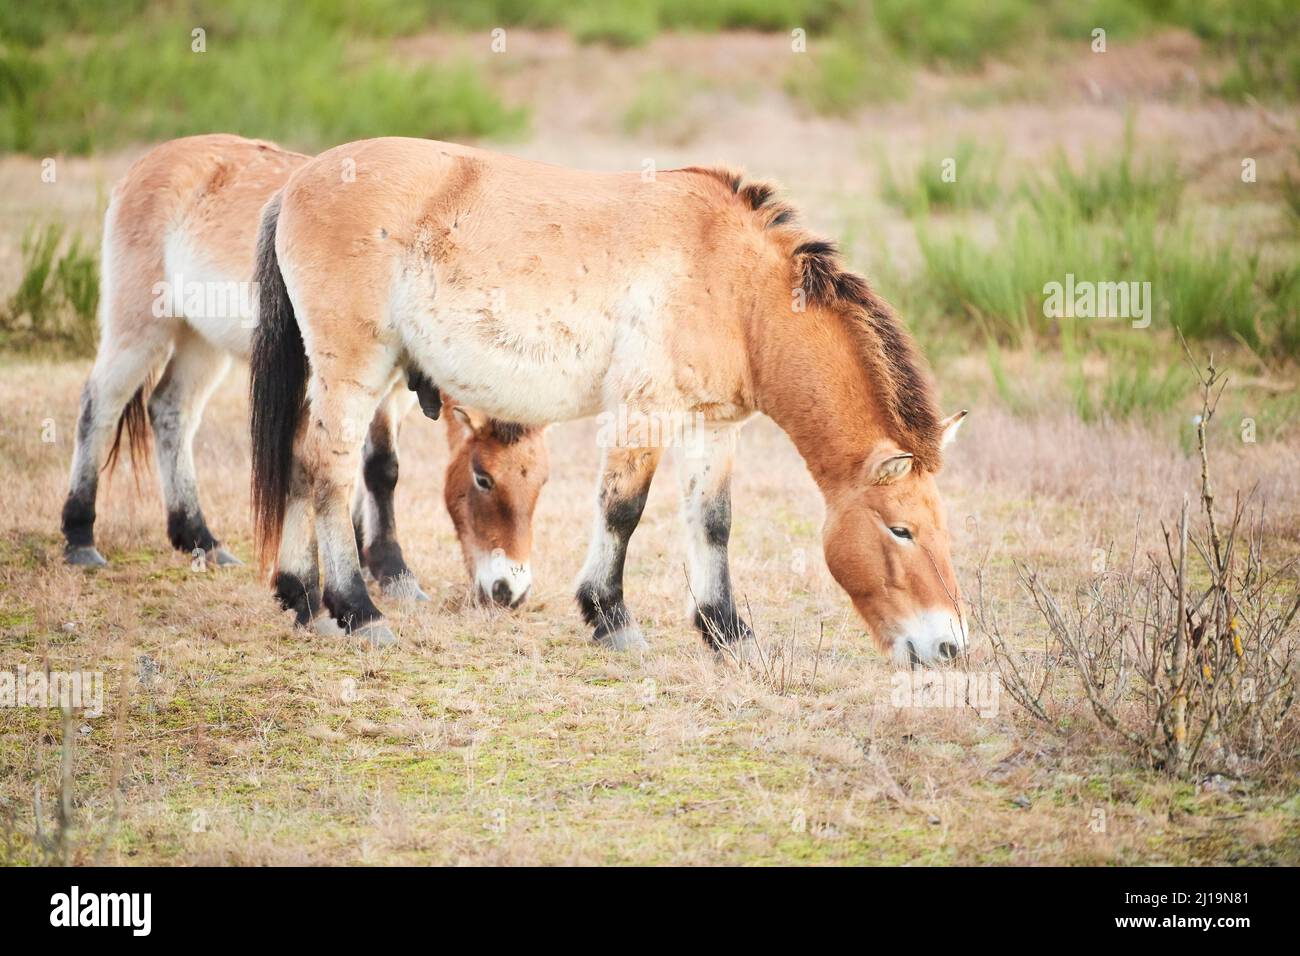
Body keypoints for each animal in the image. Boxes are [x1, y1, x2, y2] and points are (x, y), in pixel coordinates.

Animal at [60, 134, 547, 617]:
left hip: (200, 342)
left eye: (541, 482)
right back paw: (80, 537)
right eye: (483, 478)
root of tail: (149, 161)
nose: (510, 592)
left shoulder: (387, 390)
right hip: (140, 328)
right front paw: (391, 572)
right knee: (98, 406)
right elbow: (379, 468)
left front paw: (359, 563)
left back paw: (199, 539)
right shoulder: (370, 382)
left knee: (170, 412)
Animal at [249, 137, 968, 664]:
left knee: (299, 462)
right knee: (330, 475)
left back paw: (302, 599)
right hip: (354, 373)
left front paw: (727, 632)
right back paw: (357, 610)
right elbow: (623, 512)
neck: (738, 290)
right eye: (900, 529)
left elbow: (712, 523)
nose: (948, 646)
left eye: (942, 529)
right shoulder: (643, 412)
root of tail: (296, 183)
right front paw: (611, 617)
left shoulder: (713, 428)